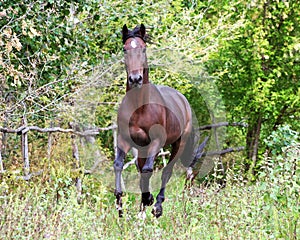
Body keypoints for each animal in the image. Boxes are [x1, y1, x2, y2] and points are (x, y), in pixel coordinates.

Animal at [113, 23, 203, 218]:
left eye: (144, 48)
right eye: (124, 49)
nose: (135, 79)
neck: (140, 107)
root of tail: (183, 100)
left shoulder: (156, 141)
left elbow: (149, 169)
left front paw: (149, 200)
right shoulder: (124, 139)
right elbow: (118, 165)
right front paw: (120, 206)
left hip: (179, 143)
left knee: (166, 171)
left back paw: (157, 207)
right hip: (142, 148)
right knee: (142, 172)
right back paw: (141, 212)